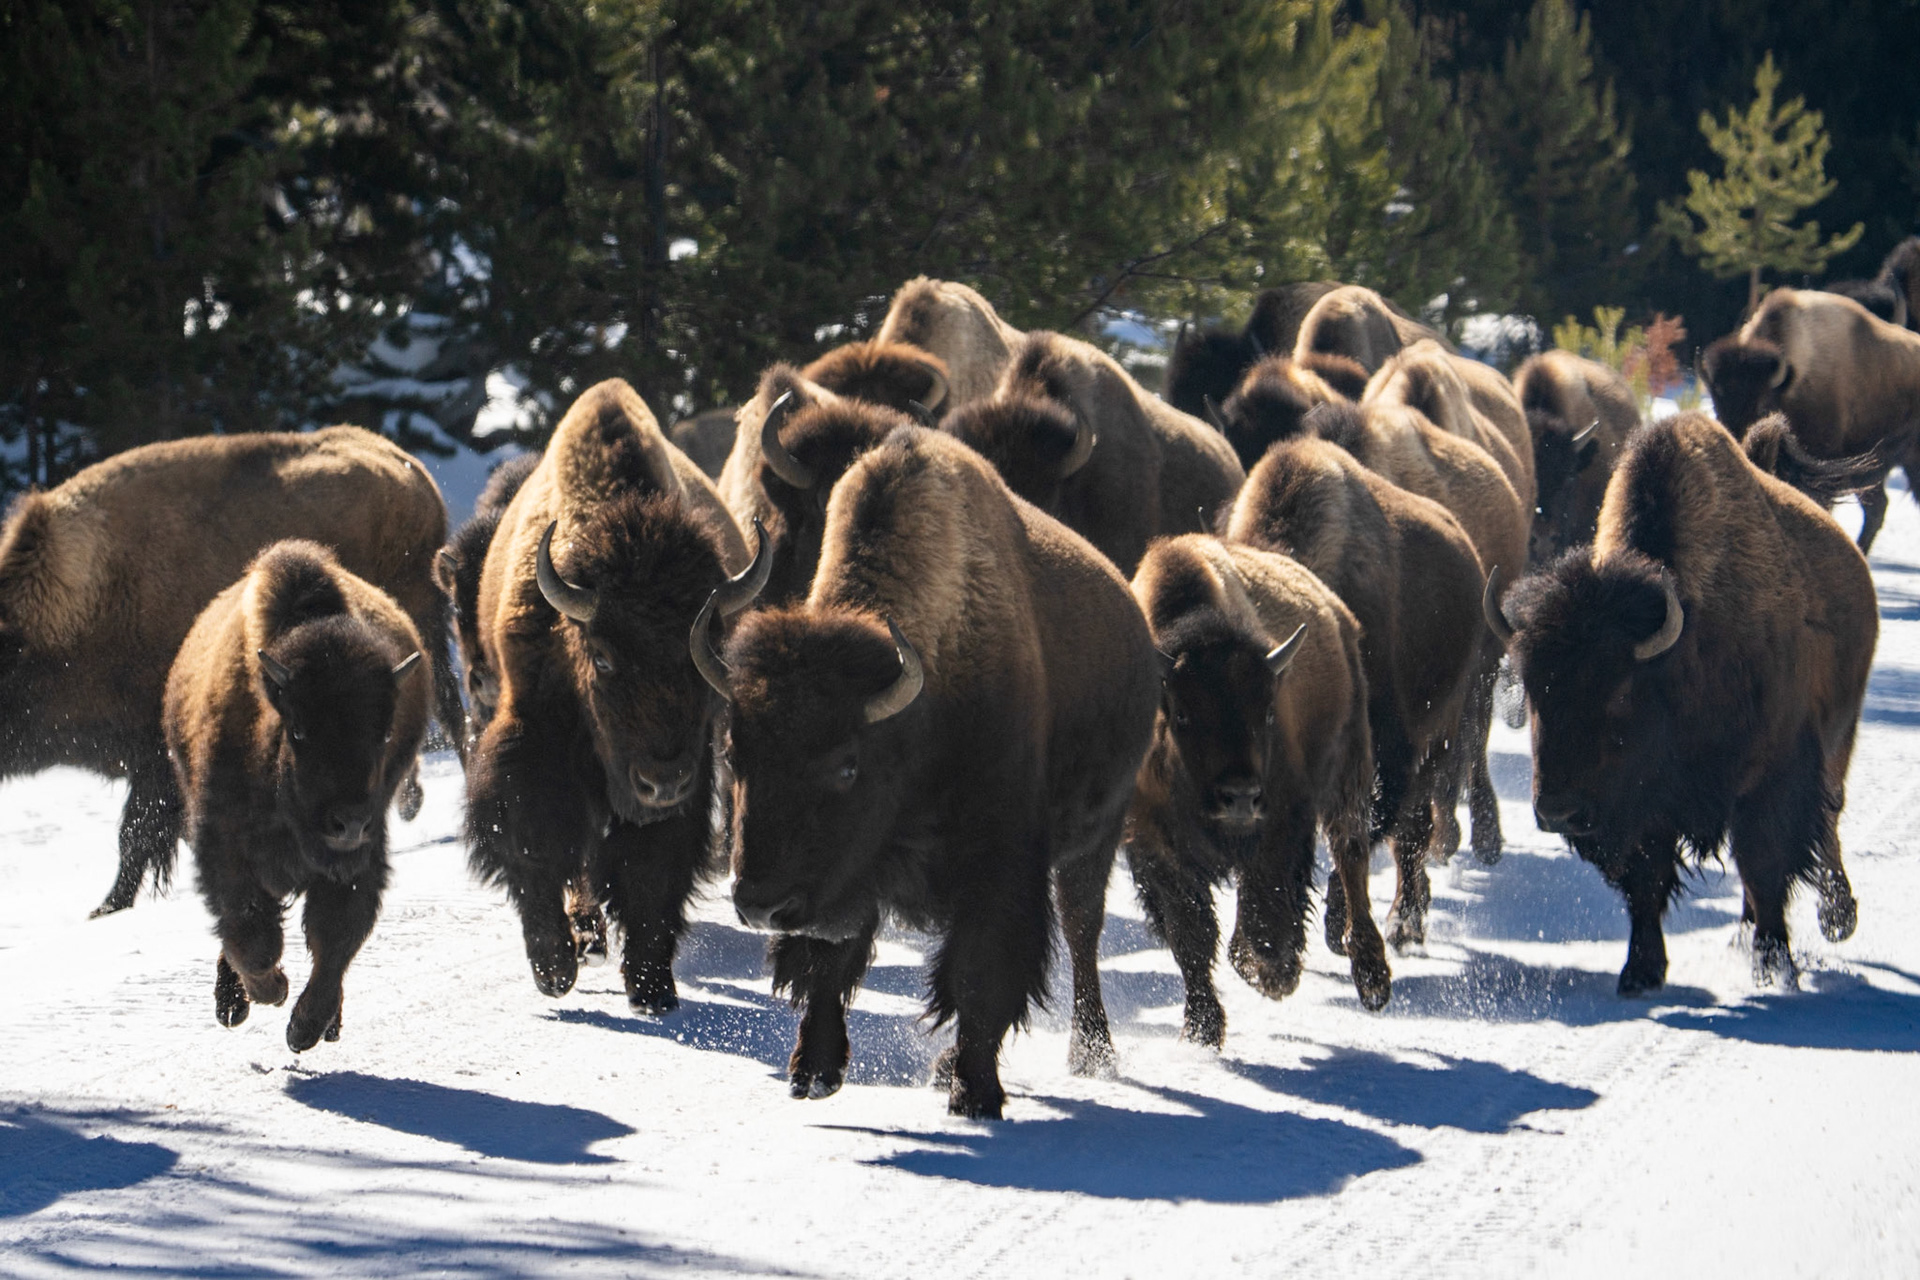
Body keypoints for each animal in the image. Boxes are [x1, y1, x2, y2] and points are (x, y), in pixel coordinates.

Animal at [164, 540, 429, 1050]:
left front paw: (306, 1027)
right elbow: (250, 933)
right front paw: (270, 990)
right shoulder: (225, 849)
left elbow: (336, 937)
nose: (349, 823)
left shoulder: (359, 859)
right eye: (300, 730)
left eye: (384, 734)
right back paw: (235, 1002)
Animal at [465, 378, 756, 1011]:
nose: (660, 782)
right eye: (602, 657)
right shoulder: (532, 738)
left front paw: (651, 987)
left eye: (704, 655)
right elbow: (538, 842)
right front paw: (554, 968)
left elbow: (651, 870)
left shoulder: (689, 777)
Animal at [699, 425, 1159, 1118]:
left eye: (847, 766)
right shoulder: (845, 878)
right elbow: (828, 963)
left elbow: (981, 975)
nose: (759, 905)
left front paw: (975, 1094)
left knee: (1083, 930)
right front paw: (813, 1073)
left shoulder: (999, 865)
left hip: (1098, 834)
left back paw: (1089, 1054)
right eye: (734, 753)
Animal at [1125, 533, 1388, 1047]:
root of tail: (1339, 615)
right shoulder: (1156, 845)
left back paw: (1373, 979)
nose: (1241, 796)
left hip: (1349, 771)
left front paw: (1271, 974)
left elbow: (1266, 904)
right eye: (1182, 714)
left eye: (1267, 711)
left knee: (1351, 856)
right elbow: (1191, 933)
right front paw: (1203, 1027)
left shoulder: (1281, 820)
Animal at [1487, 412, 1876, 992]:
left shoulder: (1771, 777)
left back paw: (1835, 919)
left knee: (1826, 825)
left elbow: (1765, 865)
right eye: (1533, 689)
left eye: (1620, 689)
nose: (1558, 811)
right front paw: (1640, 971)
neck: (1684, 652)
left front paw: (1775, 967)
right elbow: (1646, 881)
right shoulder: (1642, 807)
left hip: (1835, 742)